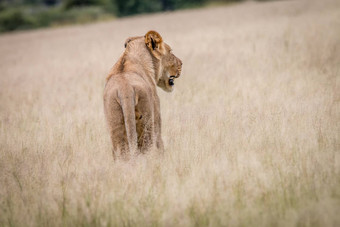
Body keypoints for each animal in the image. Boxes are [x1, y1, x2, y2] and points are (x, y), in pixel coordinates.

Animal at [103, 30, 183, 158]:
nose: (181, 63)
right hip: (147, 123)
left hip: (115, 126)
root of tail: (125, 88)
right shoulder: (156, 115)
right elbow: (160, 144)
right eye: (170, 51)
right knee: (148, 149)